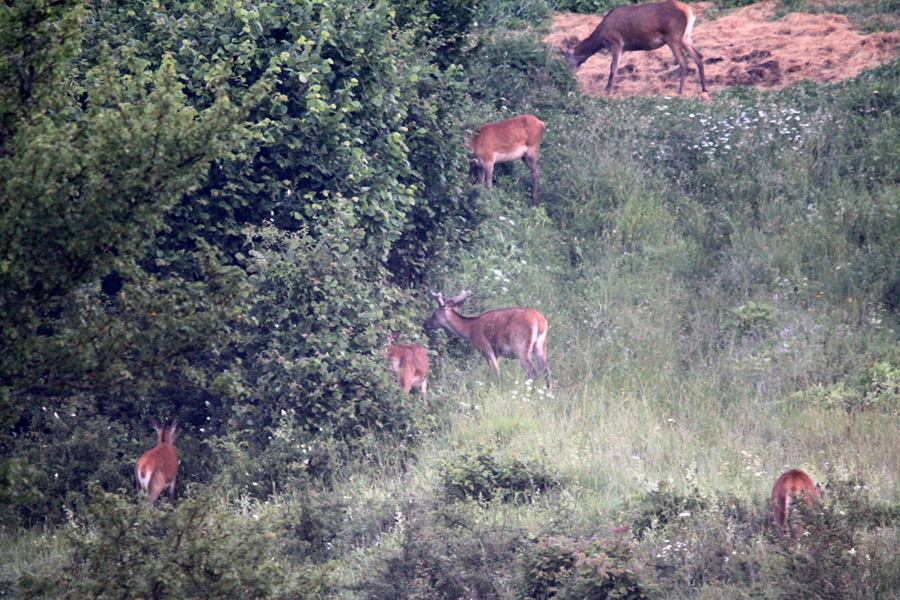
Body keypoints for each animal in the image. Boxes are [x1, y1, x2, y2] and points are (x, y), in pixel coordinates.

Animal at [564, 0, 712, 95]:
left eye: (566, 60)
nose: (567, 76)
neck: (601, 37)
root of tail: (691, 11)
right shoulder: (622, 48)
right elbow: (613, 66)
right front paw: (607, 89)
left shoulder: (616, 43)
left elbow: (613, 67)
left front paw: (609, 91)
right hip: (686, 37)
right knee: (698, 56)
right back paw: (704, 88)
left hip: (673, 36)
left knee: (683, 62)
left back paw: (680, 90)